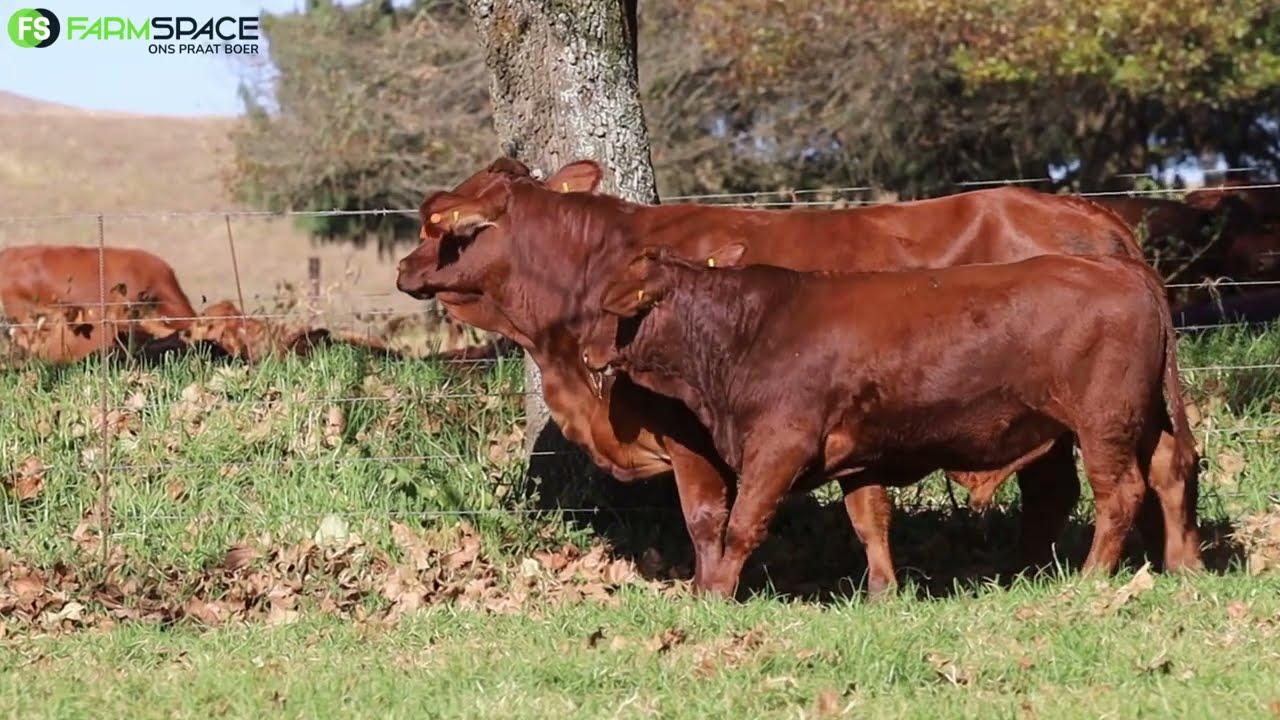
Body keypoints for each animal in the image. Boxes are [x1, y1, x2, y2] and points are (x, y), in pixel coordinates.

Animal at [580, 248, 1203, 597]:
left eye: (612, 309)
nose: (586, 352)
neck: (747, 332)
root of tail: (1121, 266)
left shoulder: (778, 446)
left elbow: (742, 525)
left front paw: (716, 593)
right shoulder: (861, 457)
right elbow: (870, 522)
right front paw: (883, 591)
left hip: (1104, 420)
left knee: (1121, 492)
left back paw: (1093, 575)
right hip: (1144, 417)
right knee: (1172, 470)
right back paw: (1184, 565)